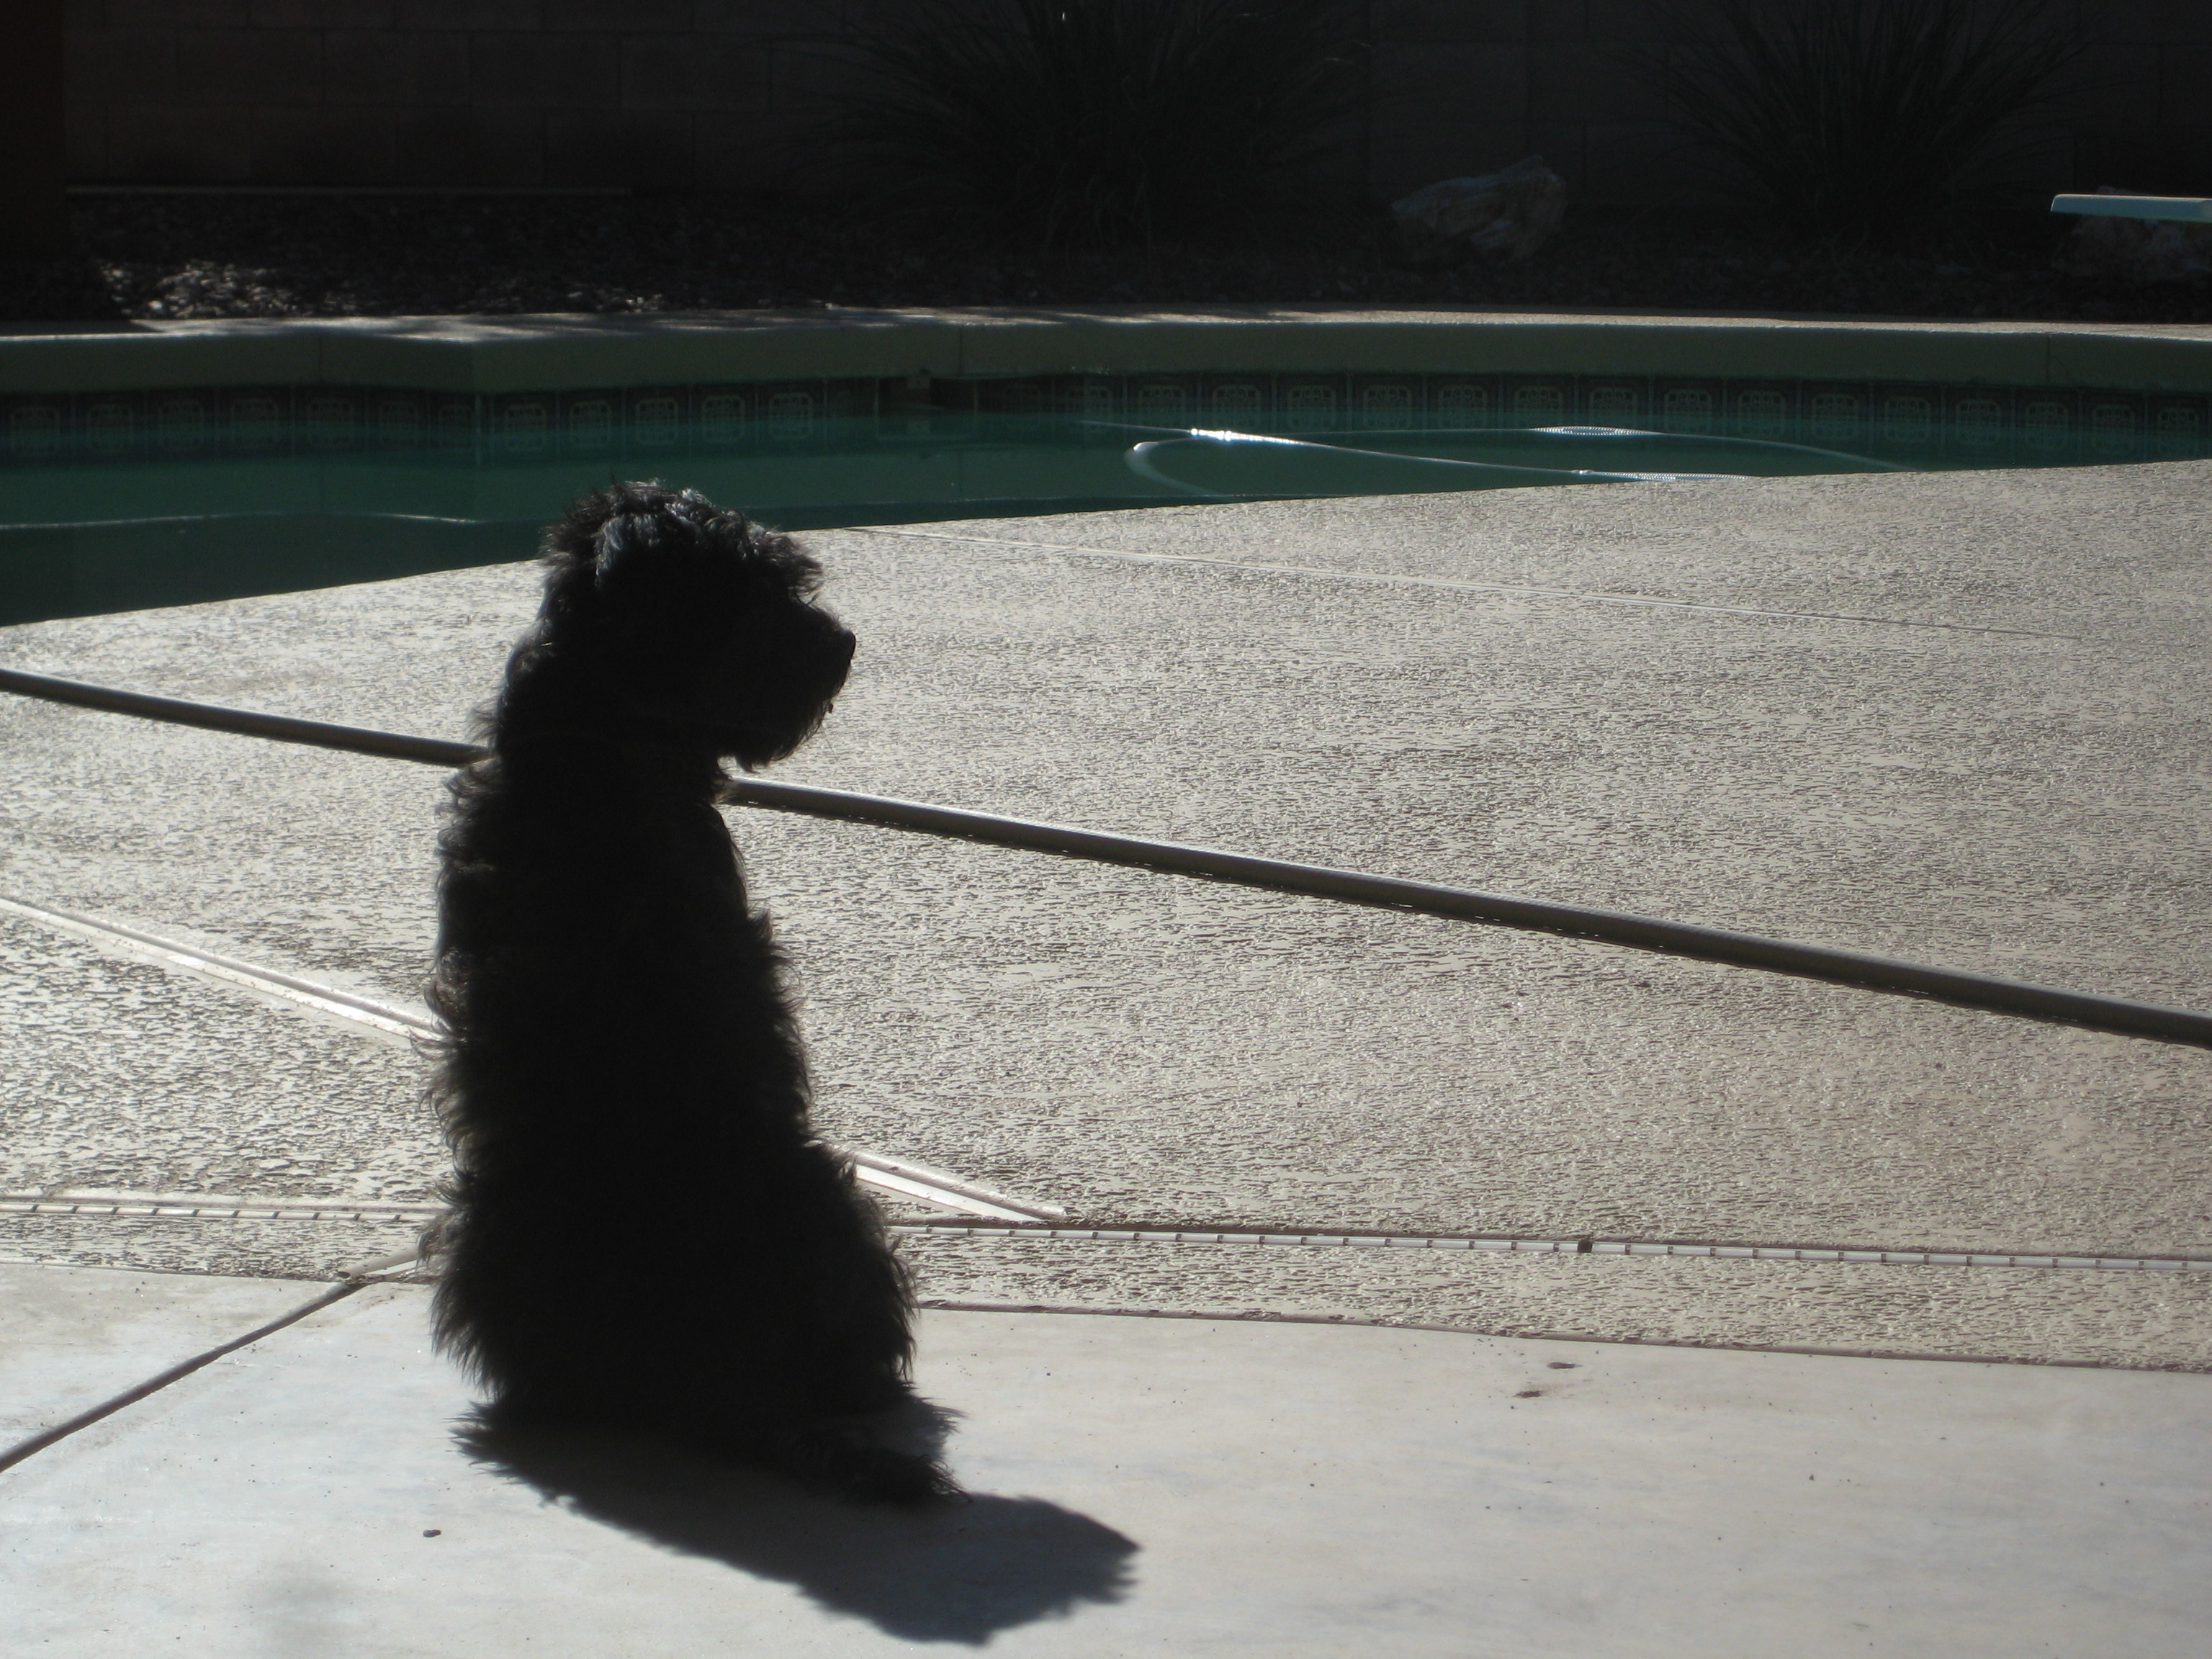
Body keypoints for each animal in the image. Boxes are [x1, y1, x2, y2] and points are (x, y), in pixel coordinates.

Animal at [425, 482, 949, 1503]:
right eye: (754, 595)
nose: (844, 643)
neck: (597, 737)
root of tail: (720, 1357)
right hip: (840, 1200)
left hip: (486, 1230)